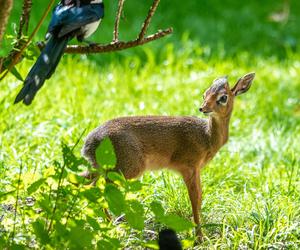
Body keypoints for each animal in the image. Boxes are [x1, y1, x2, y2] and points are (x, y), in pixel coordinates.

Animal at [81, 72, 254, 238]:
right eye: (204, 94)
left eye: (223, 97)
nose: (203, 108)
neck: (206, 136)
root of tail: (89, 144)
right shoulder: (189, 167)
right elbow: (194, 200)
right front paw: (199, 238)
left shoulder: (196, 169)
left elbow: (199, 198)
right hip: (126, 168)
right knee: (99, 188)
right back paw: (112, 226)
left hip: (102, 168)